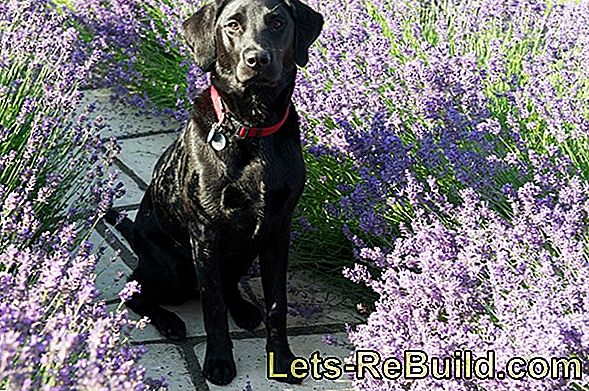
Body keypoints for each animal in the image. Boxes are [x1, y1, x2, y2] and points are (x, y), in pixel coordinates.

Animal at [104, 0, 322, 386]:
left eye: (277, 22)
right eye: (232, 25)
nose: (257, 58)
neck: (251, 125)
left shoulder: (278, 231)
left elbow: (276, 305)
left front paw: (281, 359)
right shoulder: (205, 234)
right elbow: (213, 308)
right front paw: (219, 362)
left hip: (245, 254)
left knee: (229, 283)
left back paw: (245, 309)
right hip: (171, 268)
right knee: (135, 290)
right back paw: (168, 321)